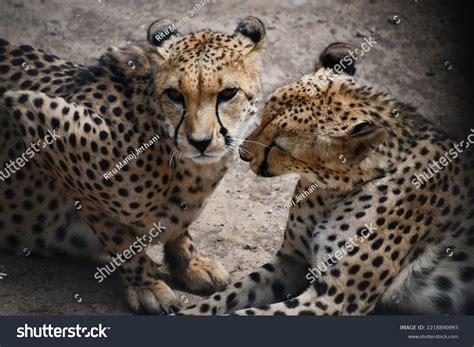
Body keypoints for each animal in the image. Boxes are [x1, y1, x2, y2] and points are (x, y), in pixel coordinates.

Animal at [0, 17, 266, 316]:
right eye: (175, 94)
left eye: (228, 93)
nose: (200, 142)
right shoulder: (29, 112)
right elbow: (120, 238)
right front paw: (146, 286)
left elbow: (179, 227)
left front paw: (190, 263)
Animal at [179, 42, 474, 316]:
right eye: (263, 118)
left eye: (280, 146)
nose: (243, 154)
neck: (333, 190)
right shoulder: (292, 260)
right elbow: (227, 296)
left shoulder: (333, 299)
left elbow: (249, 313)